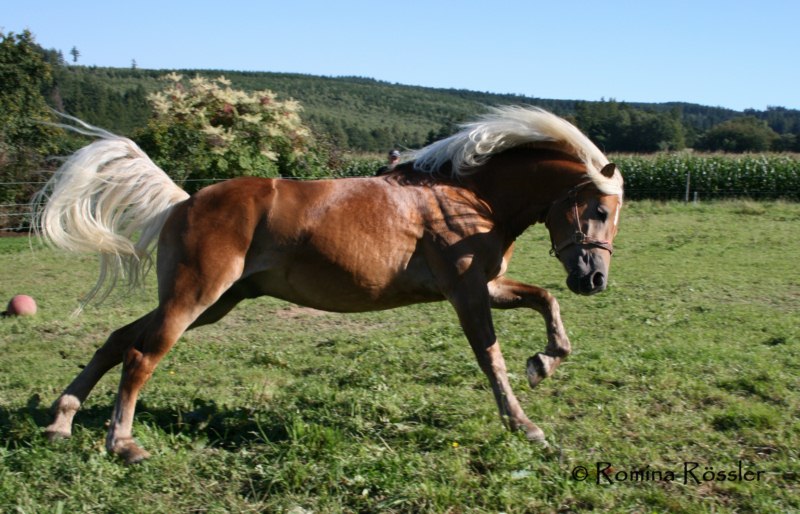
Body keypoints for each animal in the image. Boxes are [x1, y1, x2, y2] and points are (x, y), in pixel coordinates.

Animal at [34, 106, 624, 462]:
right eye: (598, 209)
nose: (594, 279)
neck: (467, 197)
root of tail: (184, 200)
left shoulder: (487, 286)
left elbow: (545, 301)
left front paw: (545, 362)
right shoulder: (466, 293)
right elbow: (491, 357)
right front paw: (525, 425)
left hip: (216, 302)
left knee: (118, 339)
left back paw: (62, 421)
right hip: (193, 297)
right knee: (140, 355)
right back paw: (122, 441)